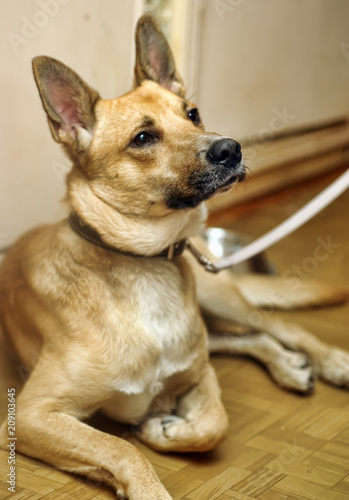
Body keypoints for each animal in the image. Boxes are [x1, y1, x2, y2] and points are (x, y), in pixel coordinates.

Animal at [0, 13, 348, 498]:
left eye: (193, 114)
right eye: (143, 138)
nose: (231, 148)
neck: (143, 267)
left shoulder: (199, 374)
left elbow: (215, 425)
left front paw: (165, 429)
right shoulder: (31, 415)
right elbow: (121, 448)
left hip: (220, 299)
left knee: (275, 326)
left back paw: (328, 360)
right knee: (244, 339)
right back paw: (289, 366)